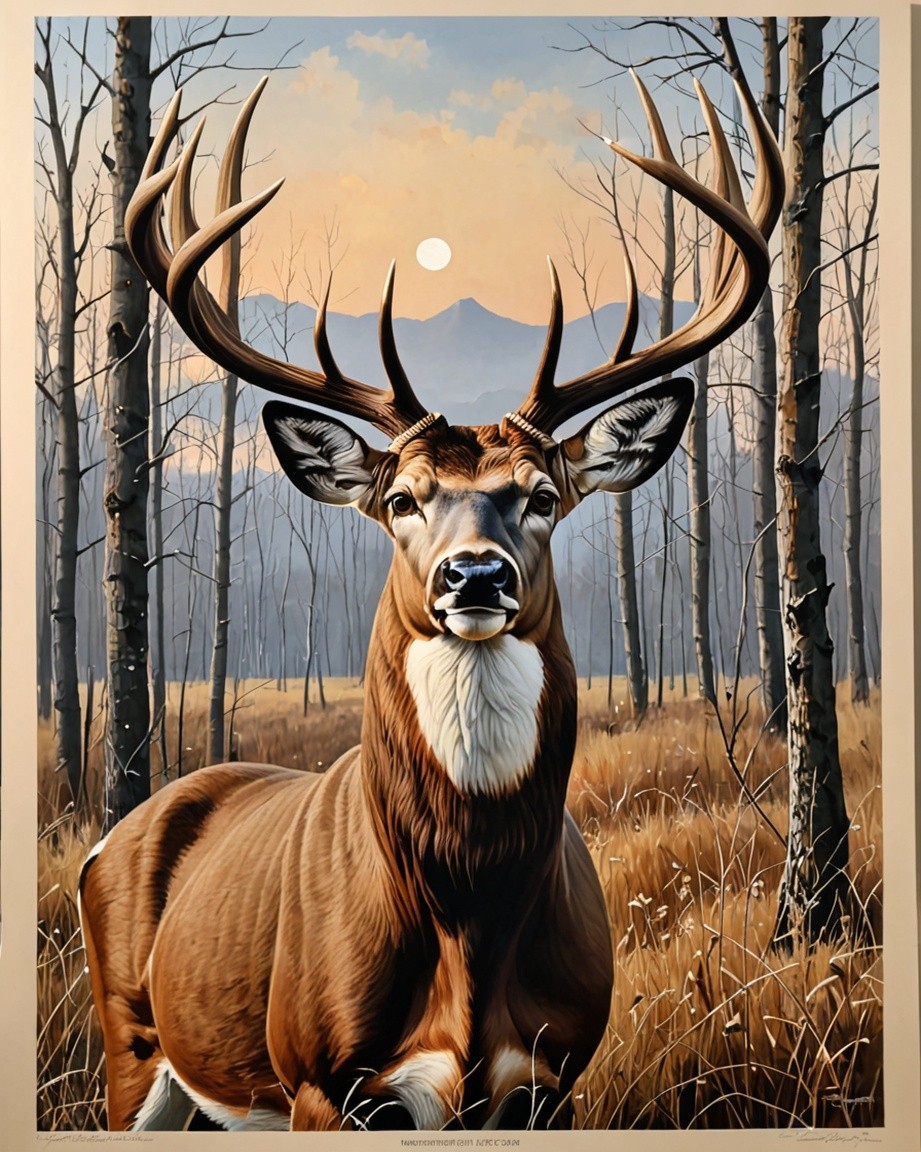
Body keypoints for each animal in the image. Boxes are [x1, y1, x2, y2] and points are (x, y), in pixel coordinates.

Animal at [78, 73, 783, 1132]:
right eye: (402, 498)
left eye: (541, 496)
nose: (475, 575)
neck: (467, 920)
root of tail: (109, 838)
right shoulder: (324, 1080)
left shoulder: (549, 1079)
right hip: (134, 1043)